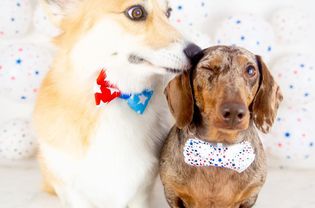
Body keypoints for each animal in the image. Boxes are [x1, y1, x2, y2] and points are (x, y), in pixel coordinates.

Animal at [160, 46, 284, 208]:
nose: (234, 112)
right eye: (207, 68)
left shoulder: (250, 197)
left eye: (250, 70)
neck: (220, 147)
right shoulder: (172, 192)